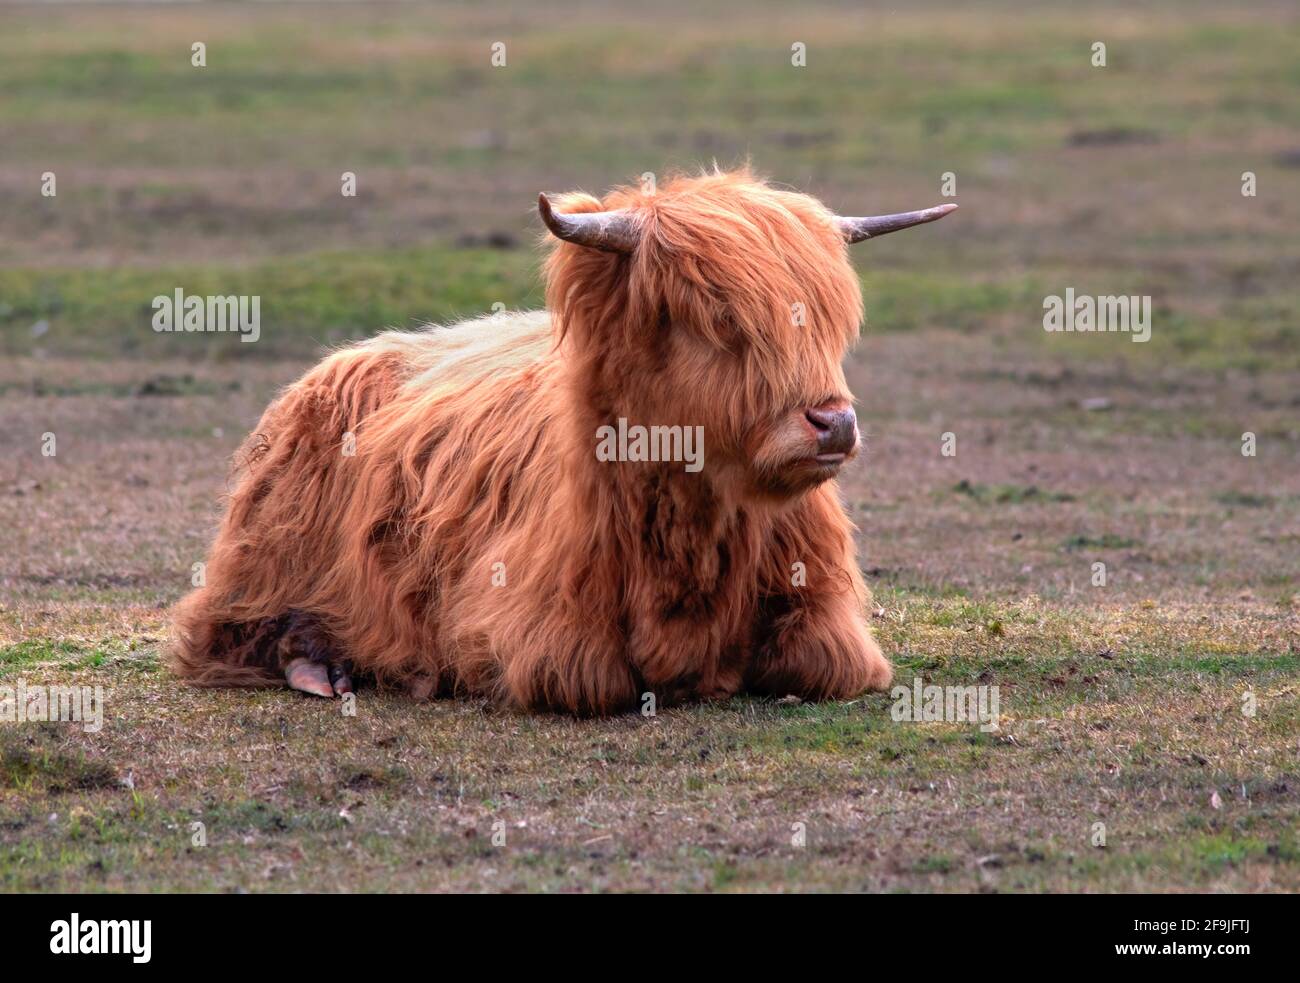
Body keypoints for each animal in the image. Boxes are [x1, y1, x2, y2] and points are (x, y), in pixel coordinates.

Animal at [167, 169, 951, 712]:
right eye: (716, 317)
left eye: (828, 316)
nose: (834, 422)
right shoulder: (538, 633)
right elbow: (591, 679)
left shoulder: (829, 625)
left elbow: (821, 666)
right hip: (262, 556)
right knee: (227, 629)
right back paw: (320, 666)